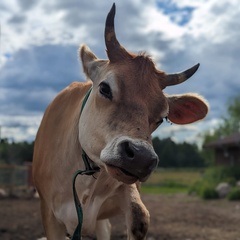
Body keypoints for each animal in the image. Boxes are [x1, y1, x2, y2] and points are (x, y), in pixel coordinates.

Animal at [31, 3, 208, 240]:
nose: (141, 158)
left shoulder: (125, 189)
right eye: (105, 88)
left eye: (162, 117)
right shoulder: (48, 213)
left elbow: (139, 217)